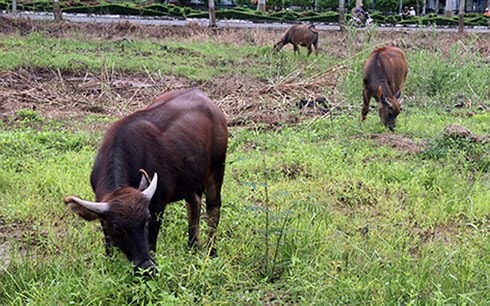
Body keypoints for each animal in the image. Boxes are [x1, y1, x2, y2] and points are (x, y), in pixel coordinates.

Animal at [62, 87, 228, 274]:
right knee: (194, 203)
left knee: (213, 209)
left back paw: (211, 251)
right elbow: (108, 243)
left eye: (146, 221)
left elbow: (152, 242)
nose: (147, 267)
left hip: (216, 170)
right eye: (118, 228)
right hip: (190, 180)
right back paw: (192, 246)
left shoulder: (157, 207)